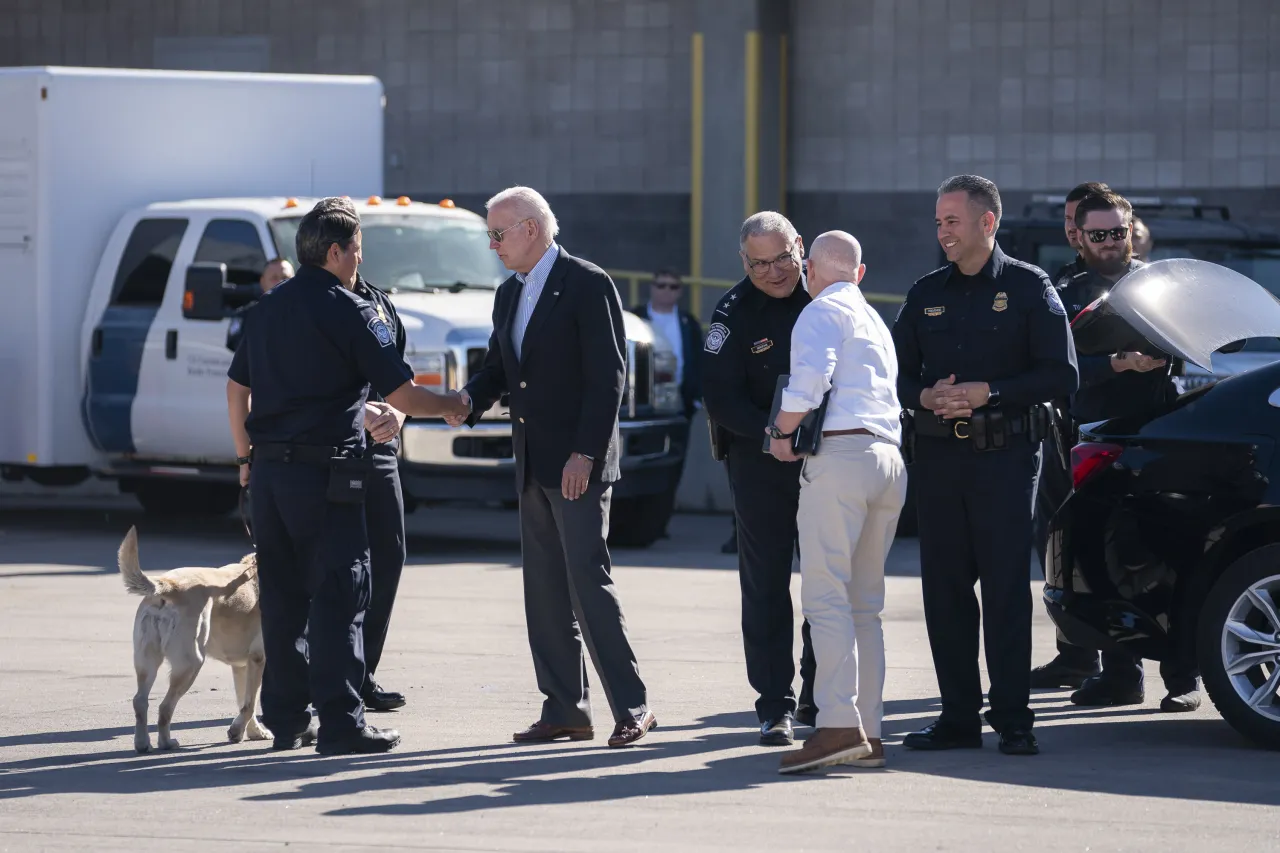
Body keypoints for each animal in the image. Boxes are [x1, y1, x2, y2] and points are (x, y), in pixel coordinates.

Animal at [118, 525, 272, 753]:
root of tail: (167, 585)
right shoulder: (258, 659)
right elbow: (250, 704)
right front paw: (238, 731)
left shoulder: (242, 666)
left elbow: (244, 702)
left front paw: (252, 732)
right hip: (191, 664)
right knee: (165, 708)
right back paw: (166, 743)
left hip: (147, 662)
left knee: (140, 701)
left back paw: (142, 743)